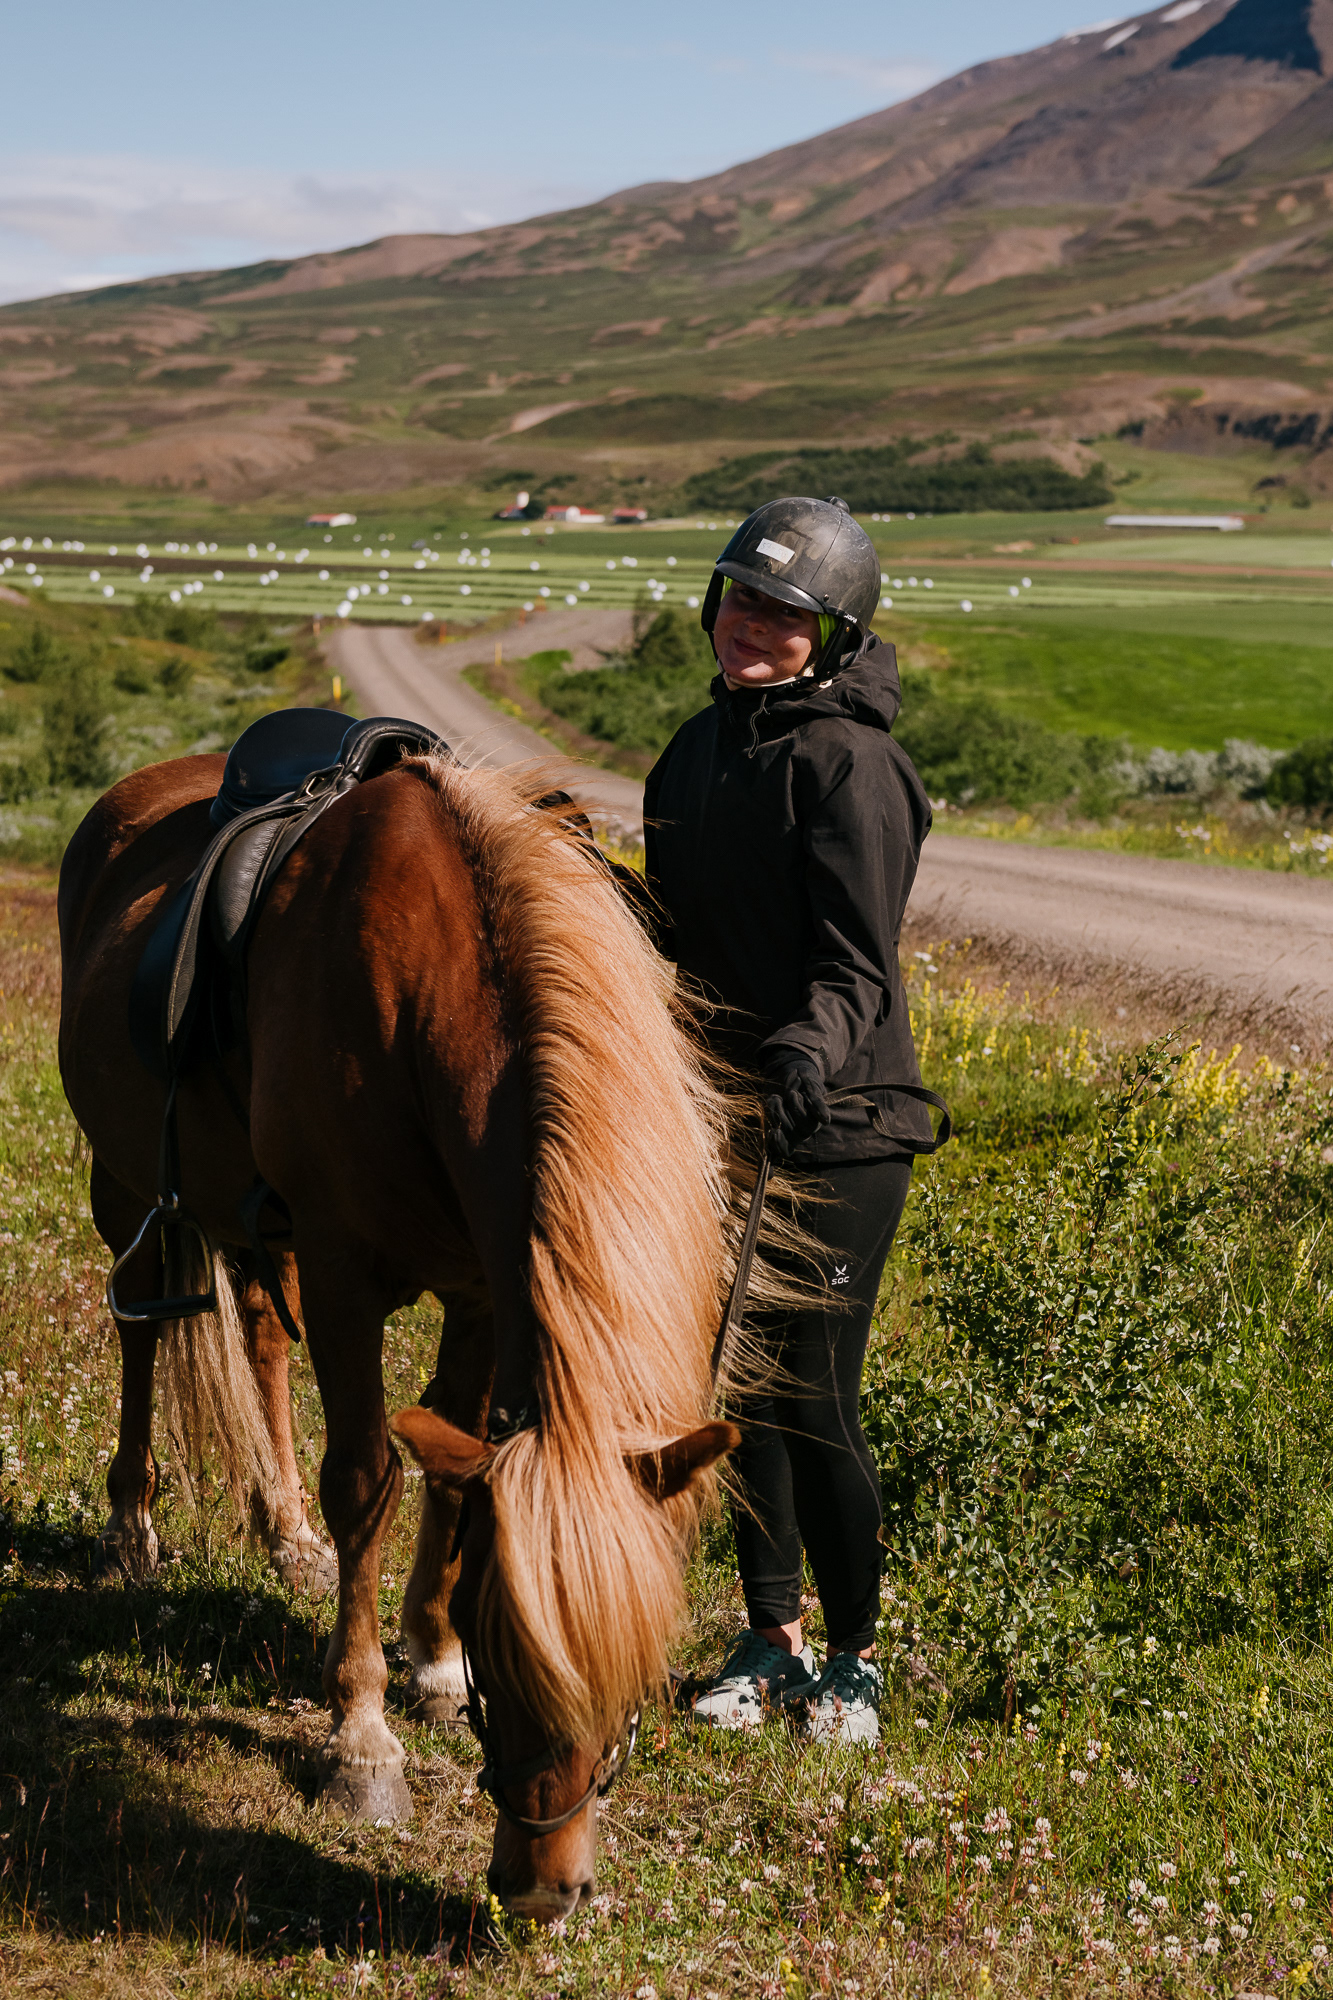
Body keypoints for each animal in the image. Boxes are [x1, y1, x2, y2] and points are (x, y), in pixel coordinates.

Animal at [57, 741, 775, 1919]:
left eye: (632, 1680)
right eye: (509, 1661)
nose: (542, 1890)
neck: (422, 998)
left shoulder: (480, 1286)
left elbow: (450, 1466)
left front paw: (428, 1664)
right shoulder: (345, 1274)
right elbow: (369, 1480)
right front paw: (361, 1737)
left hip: (257, 1225)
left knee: (259, 1333)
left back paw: (285, 1531)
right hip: (128, 1189)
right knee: (138, 1335)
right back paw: (133, 1524)